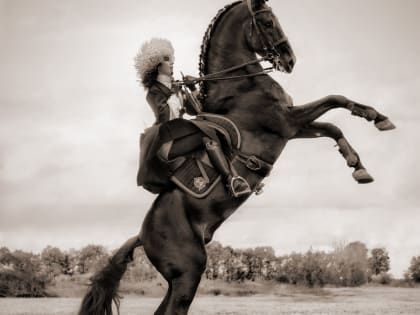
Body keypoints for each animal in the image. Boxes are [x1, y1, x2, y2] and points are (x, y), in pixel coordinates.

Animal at [78, 1, 394, 314]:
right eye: (267, 22)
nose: (290, 60)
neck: (242, 85)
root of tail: (142, 236)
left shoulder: (294, 129)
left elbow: (332, 126)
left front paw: (360, 164)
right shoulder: (287, 122)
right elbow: (334, 99)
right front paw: (376, 118)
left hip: (178, 278)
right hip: (189, 272)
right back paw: (238, 184)